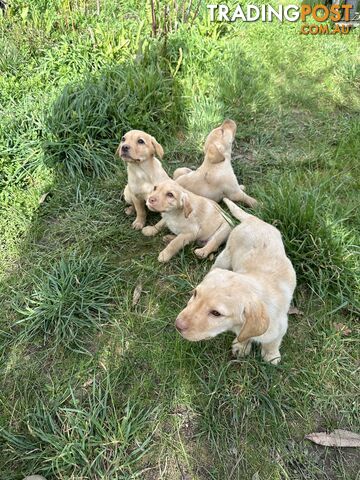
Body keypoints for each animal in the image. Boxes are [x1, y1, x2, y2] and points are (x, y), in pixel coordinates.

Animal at [176, 199, 296, 364]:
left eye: (216, 313)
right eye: (195, 294)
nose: (177, 325)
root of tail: (253, 219)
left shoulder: (280, 327)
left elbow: (273, 342)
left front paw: (271, 355)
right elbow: (244, 336)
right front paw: (241, 346)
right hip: (225, 257)